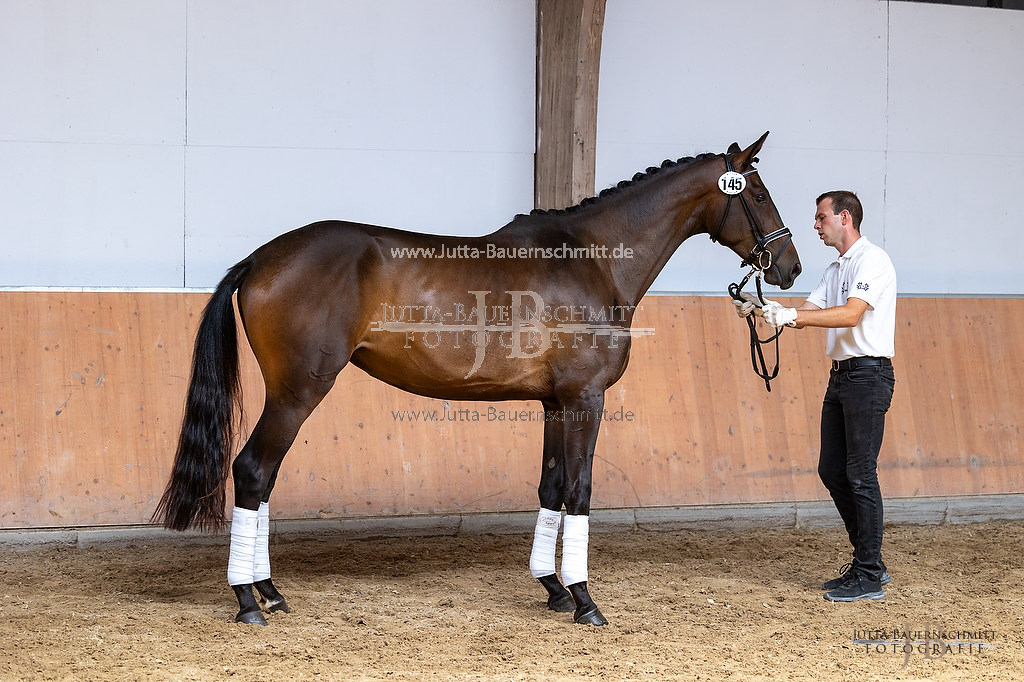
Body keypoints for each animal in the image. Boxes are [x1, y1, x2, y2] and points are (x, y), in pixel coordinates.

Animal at [155, 130, 802, 622]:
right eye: (759, 193)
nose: (790, 267)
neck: (593, 259)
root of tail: (260, 259)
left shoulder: (554, 402)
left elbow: (550, 487)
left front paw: (552, 588)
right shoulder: (585, 400)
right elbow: (579, 490)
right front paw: (584, 599)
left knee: (263, 480)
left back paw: (268, 591)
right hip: (297, 392)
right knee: (253, 471)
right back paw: (248, 600)